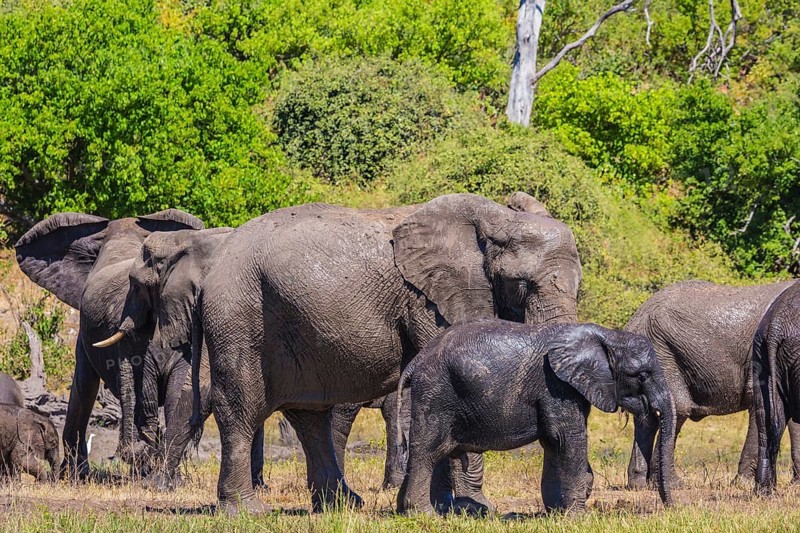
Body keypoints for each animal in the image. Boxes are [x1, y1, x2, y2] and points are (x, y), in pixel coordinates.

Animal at [184, 192, 581, 514]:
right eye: (523, 285)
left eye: (580, 288)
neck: (498, 218)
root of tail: (213, 270)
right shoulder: (428, 300)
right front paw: (471, 508)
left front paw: (446, 506)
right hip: (239, 312)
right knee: (242, 406)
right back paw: (247, 510)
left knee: (309, 414)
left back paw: (342, 505)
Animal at [395, 320, 675, 514]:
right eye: (642, 376)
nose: (670, 508)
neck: (605, 335)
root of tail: (416, 361)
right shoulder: (556, 385)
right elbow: (567, 439)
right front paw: (578, 517)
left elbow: (553, 442)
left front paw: (557, 513)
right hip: (435, 394)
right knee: (427, 452)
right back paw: (424, 515)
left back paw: (408, 512)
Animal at [624, 279, 800, 490]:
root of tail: (636, 316)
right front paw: (742, 484)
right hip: (661, 351)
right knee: (677, 409)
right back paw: (673, 485)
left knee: (648, 417)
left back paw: (639, 485)